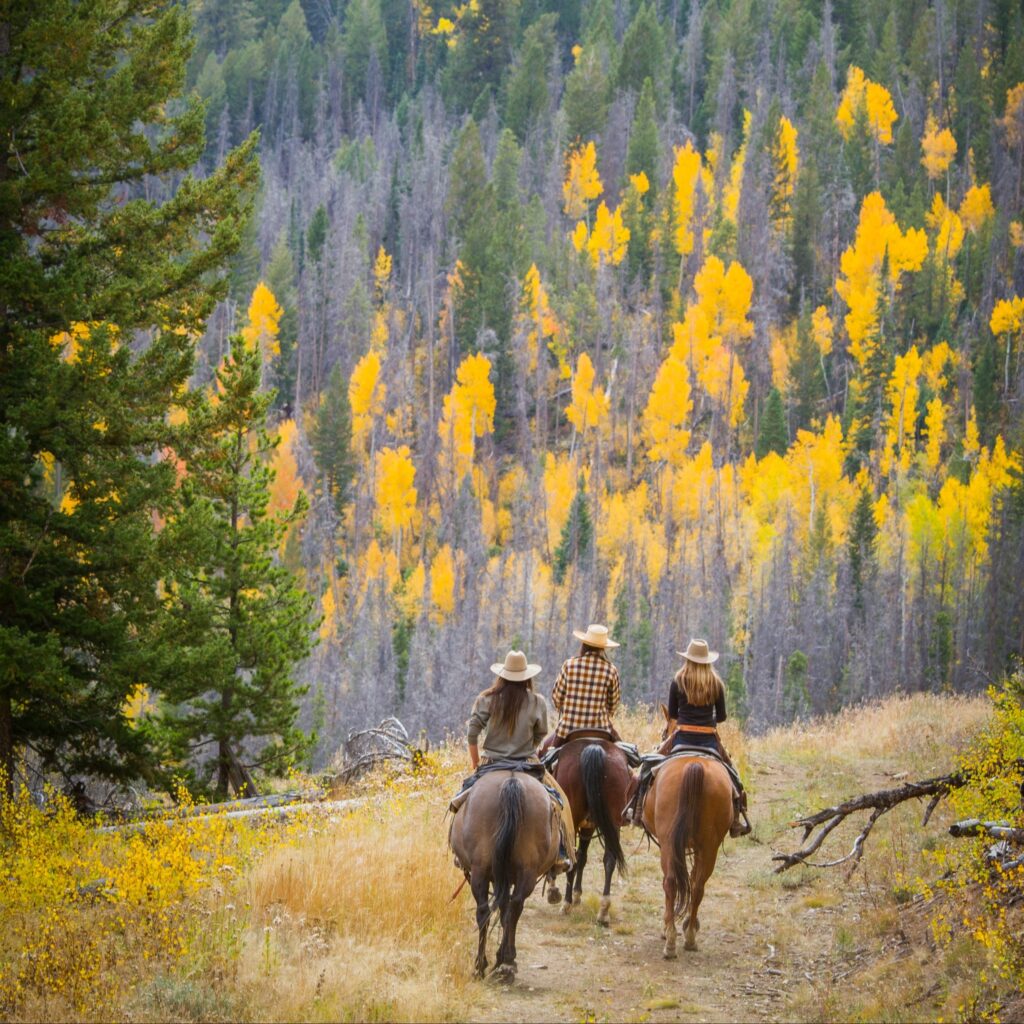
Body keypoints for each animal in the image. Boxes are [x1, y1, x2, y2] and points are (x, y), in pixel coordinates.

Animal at [450, 770, 561, 978]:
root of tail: (512, 781)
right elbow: (504, 909)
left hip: (481, 871)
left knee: (487, 911)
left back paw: (485, 964)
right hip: (525, 871)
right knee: (513, 907)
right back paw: (504, 963)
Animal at [548, 741, 626, 925]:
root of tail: (594, 747)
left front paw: (554, 891)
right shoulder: (588, 827)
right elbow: (583, 857)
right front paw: (577, 894)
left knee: (572, 858)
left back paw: (566, 904)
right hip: (613, 822)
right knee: (609, 860)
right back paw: (603, 911)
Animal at [643, 753, 733, 958]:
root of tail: (694, 765)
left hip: (669, 844)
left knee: (671, 883)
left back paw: (671, 940)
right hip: (708, 847)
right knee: (697, 886)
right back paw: (689, 937)